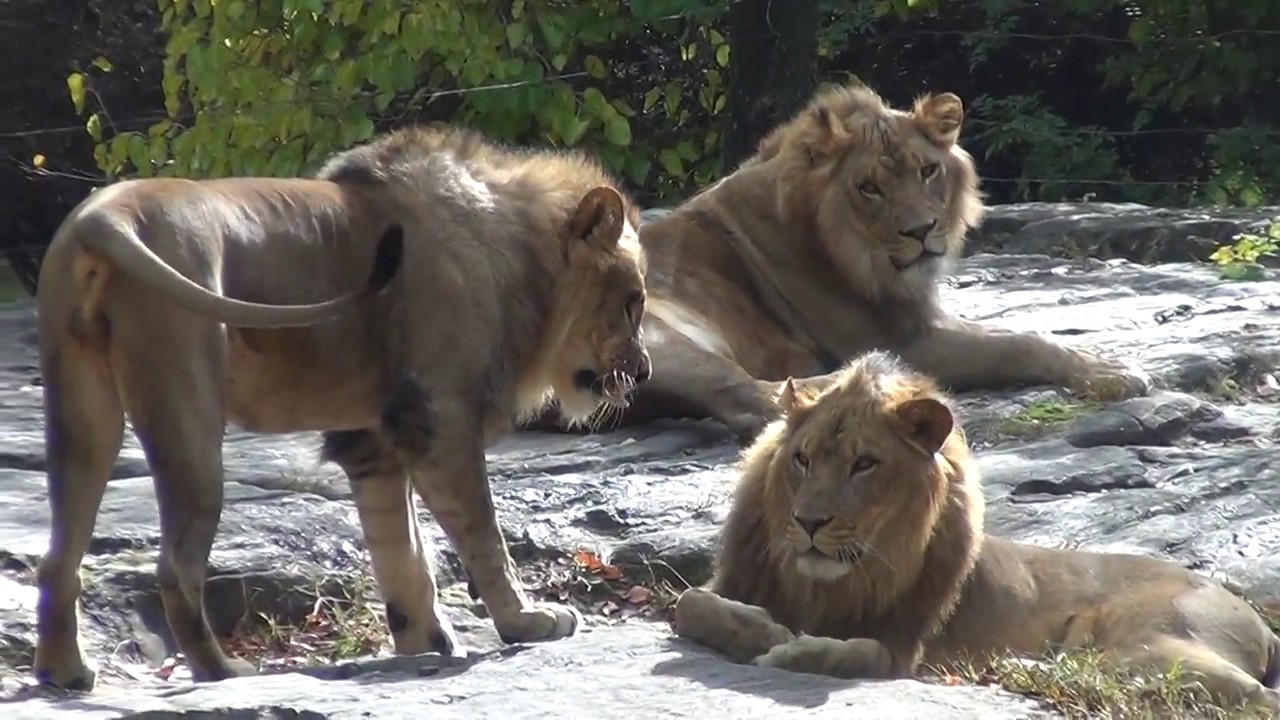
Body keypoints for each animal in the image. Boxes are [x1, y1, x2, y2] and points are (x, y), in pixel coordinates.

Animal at [32, 124, 651, 690]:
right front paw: (527, 621)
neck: (520, 258)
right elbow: (483, 536)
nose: (643, 372)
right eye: (632, 302)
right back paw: (222, 671)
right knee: (176, 567)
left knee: (59, 557)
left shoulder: (372, 440)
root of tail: (105, 212)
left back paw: (65, 673)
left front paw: (424, 640)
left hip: (82, 418)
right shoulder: (439, 420)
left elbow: (402, 550)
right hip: (189, 414)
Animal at [528, 82, 1151, 442]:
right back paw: (868, 380)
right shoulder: (911, 336)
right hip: (655, 338)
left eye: (928, 171)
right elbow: (1023, 342)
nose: (922, 232)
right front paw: (1113, 371)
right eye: (869, 188)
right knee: (752, 400)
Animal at [672, 350, 1280, 714]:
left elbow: (866, 653)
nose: (808, 522)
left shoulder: (909, 647)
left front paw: (792, 650)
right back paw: (1023, 667)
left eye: (864, 464)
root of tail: (1250, 611)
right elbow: (688, 604)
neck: (824, 586)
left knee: (1246, 697)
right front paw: (758, 630)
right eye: (801, 459)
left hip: (1150, 639)